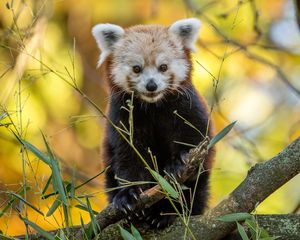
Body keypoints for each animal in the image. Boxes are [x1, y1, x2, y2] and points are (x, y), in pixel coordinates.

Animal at [92, 17, 214, 228]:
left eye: (163, 67)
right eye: (137, 68)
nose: (151, 85)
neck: (153, 106)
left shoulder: (188, 107)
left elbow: (194, 140)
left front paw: (177, 164)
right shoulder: (124, 117)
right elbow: (129, 155)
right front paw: (129, 195)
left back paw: (165, 212)